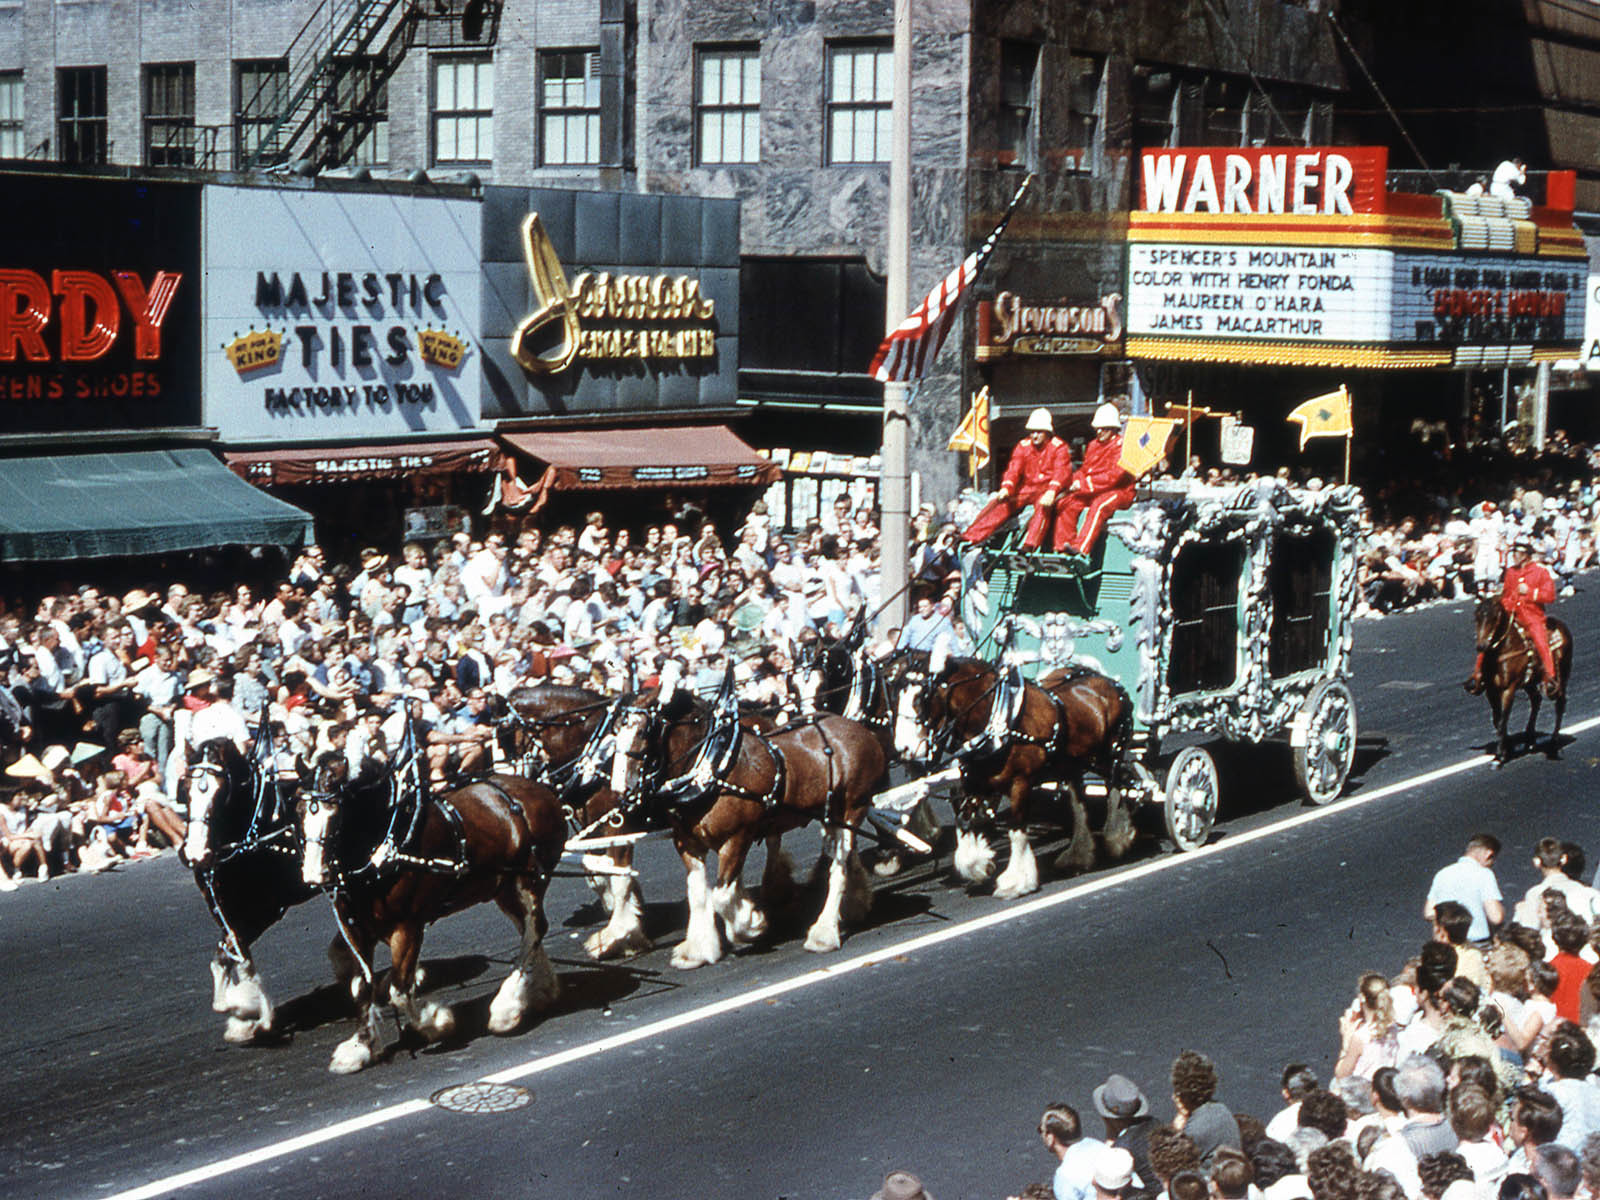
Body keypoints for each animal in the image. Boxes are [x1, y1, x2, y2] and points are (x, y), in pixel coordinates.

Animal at [180, 732, 321, 1043]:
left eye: (221, 792)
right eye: (185, 789)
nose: (195, 853)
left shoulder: (264, 912)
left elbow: (240, 963)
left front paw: (255, 1013)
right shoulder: (227, 913)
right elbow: (228, 959)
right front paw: (242, 1019)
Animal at [299, 755, 569, 1075]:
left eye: (337, 815)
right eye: (299, 811)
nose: (314, 875)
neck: (388, 844)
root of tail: (543, 791)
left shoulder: (408, 927)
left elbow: (399, 991)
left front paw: (437, 1024)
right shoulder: (356, 929)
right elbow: (362, 988)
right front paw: (361, 1047)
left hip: (529, 880)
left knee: (535, 928)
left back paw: (507, 1008)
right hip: (503, 888)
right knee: (531, 931)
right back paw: (541, 990)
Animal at [608, 681, 889, 972]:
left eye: (642, 731)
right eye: (615, 731)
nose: (619, 790)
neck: (711, 766)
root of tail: (861, 731)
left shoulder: (736, 838)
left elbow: (721, 896)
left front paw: (750, 923)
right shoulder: (687, 844)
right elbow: (698, 895)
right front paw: (697, 950)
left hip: (852, 809)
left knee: (839, 868)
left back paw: (823, 933)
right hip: (831, 815)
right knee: (843, 857)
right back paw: (856, 903)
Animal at [896, 652, 1132, 896]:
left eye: (920, 697)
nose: (904, 749)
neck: (998, 722)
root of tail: (1107, 680)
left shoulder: (1021, 783)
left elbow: (1016, 830)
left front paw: (1017, 881)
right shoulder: (977, 784)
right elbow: (962, 822)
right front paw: (979, 864)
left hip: (1108, 755)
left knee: (1118, 785)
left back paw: (1117, 837)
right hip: (1073, 765)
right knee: (1081, 804)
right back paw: (1079, 855)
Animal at [1465, 598, 1568, 764]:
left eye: (1495, 617)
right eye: (1476, 617)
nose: (1481, 646)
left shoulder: (1509, 689)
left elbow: (1502, 720)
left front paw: (1500, 755)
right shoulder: (1491, 691)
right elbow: (1497, 719)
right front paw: (1508, 747)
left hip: (1563, 675)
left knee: (1560, 704)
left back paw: (1553, 743)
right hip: (1530, 682)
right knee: (1536, 700)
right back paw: (1529, 738)